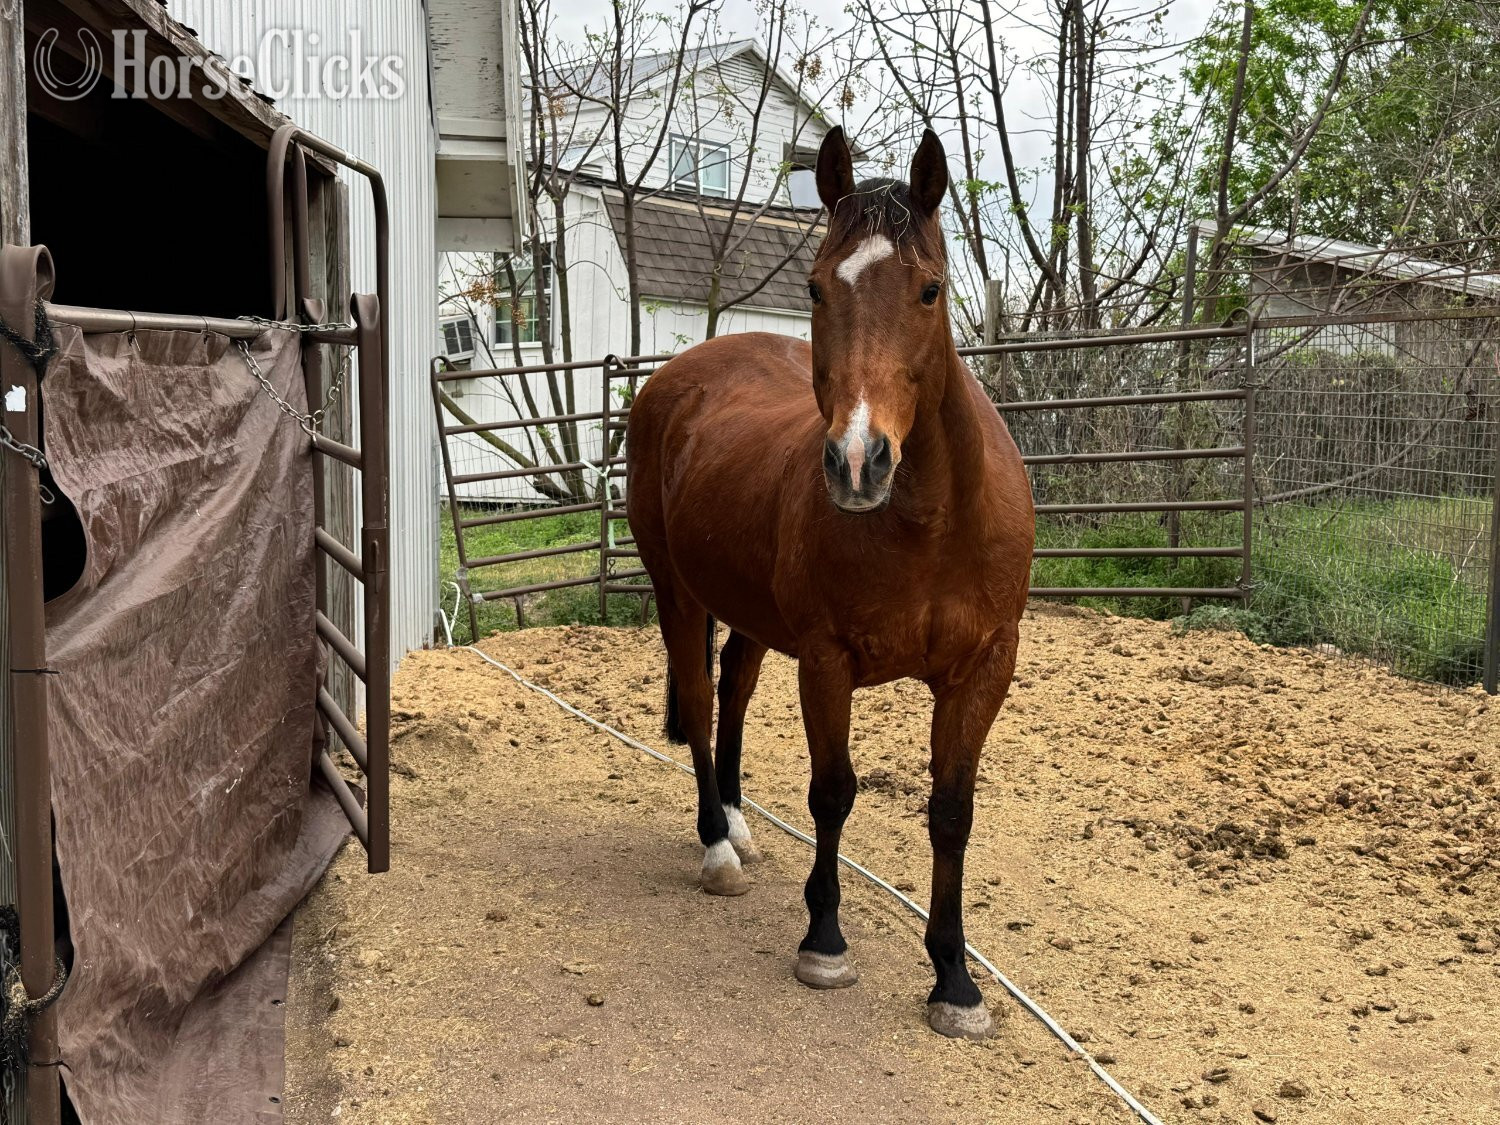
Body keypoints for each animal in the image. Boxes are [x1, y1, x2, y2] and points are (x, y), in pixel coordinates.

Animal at [624, 126, 1035, 1039]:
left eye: (929, 290)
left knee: (734, 689)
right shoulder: (827, 660)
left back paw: (739, 823)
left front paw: (955, 978)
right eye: (815, 287)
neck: (930, 523)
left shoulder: (984, 669)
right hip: (678, 591)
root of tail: (679, 376)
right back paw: (716, 845)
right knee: (699, 704)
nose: (857, 461)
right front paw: (825, 939)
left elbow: (952, 809)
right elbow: (833, 792)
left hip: (745, 610)